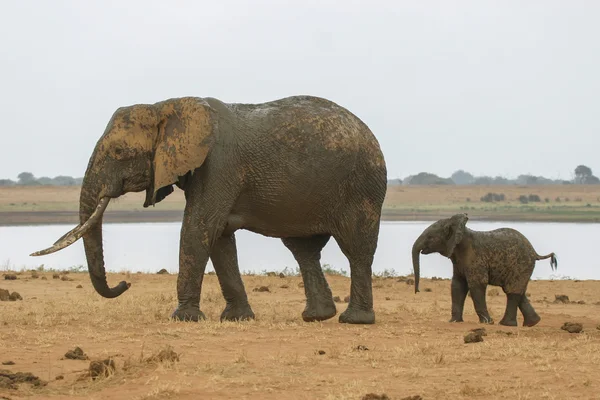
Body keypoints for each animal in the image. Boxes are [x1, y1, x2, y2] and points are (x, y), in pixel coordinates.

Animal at [31, 94, 390, 324]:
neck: (167, 107)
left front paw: (183, 319)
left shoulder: (219, 164)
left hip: (362, 186)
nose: (124, 285)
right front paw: (237, 319)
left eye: (120, 152)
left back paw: (354, 320)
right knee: (303, 250)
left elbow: (200, 226)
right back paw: (316, 317)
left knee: (356, 248)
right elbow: (219, 235)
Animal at [412, 214, 556, 326]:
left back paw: (506, 324)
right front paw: (454, 321)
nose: (417, 291)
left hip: (521, 264)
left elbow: (477, 284)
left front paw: (488, 323)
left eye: (430, 237)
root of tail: (534, 252)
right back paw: (532, 323)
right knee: (517, 290)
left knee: (512, 290)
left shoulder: (475, 258)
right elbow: (457, 285)